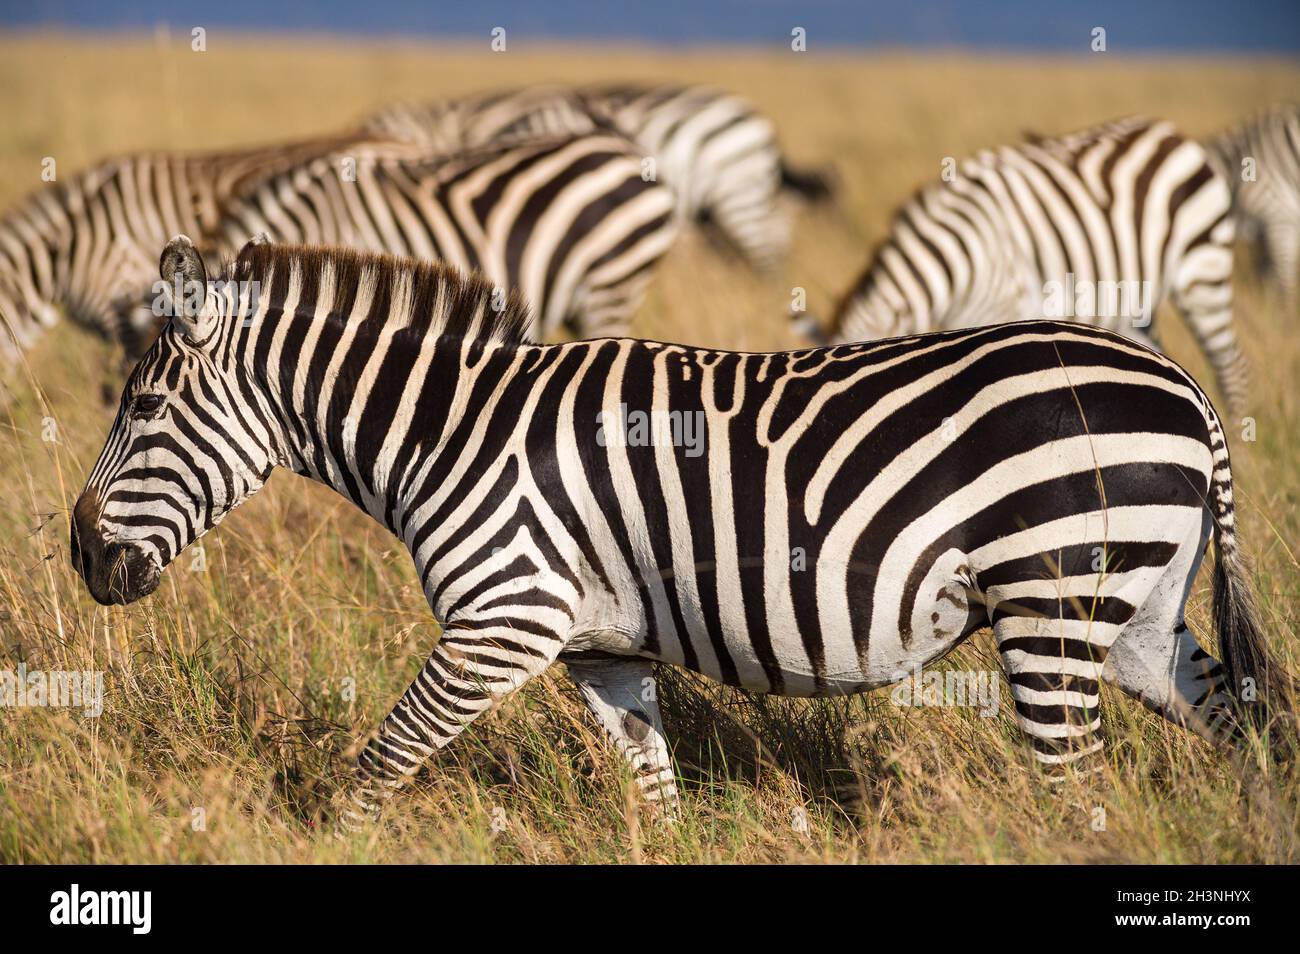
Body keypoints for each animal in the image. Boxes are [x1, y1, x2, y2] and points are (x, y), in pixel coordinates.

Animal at [71, 237, 1287, 828]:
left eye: (142, 409)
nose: (80, 557)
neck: (448, 433)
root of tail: (1183, 385)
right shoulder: (602, 652)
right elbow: (655, 804)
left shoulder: (502, 623)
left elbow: (381, 764)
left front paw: (329, 841)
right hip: (1138, 617)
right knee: (1251, 728)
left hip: (1051, 605)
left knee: (1076, 793)